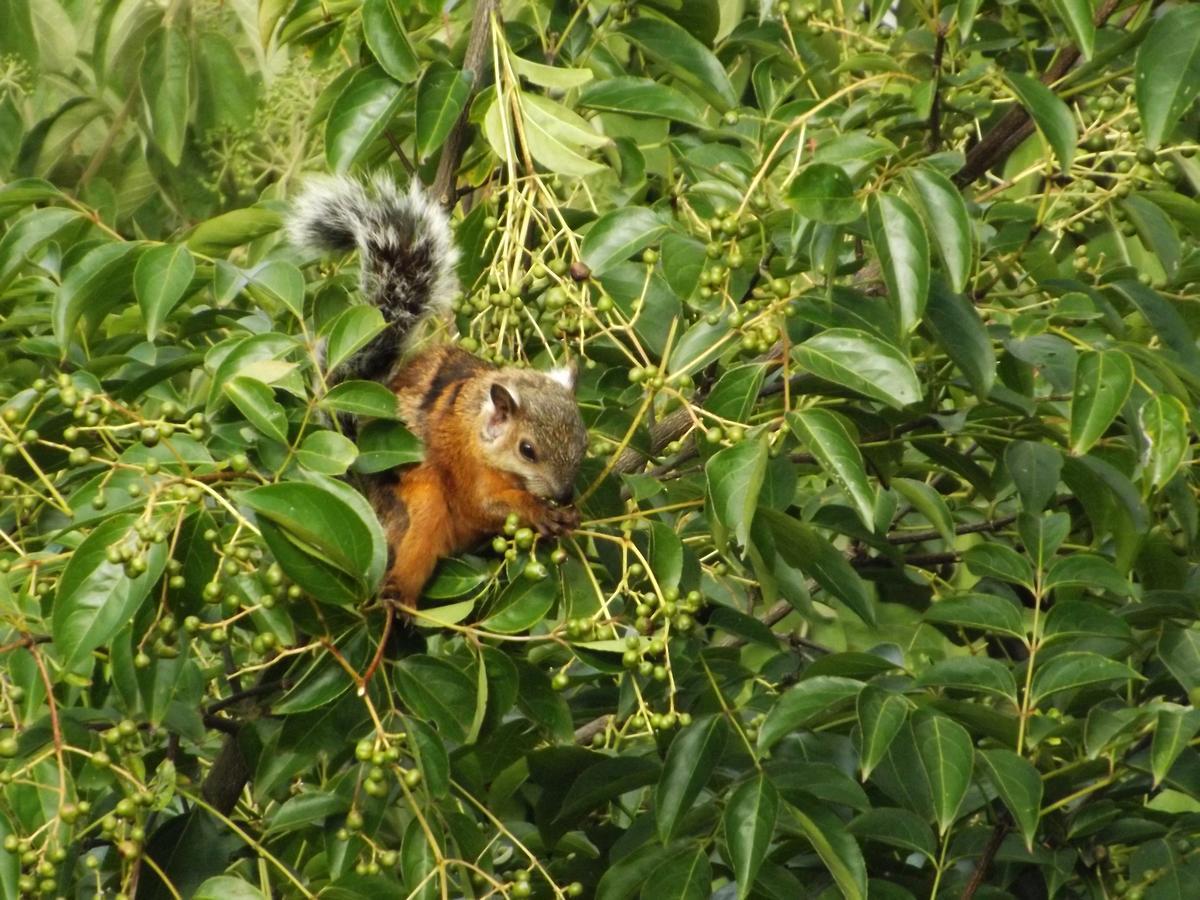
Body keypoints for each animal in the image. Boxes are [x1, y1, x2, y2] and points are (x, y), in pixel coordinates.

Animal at [290, 174, 590, 619]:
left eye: (583, 443)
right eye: (527, 450)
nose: (564, 494)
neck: (478, 428)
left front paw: (567, 513)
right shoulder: (468, 467)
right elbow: (486, 503)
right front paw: (540, 511)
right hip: (416, 502)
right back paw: (398, 596)